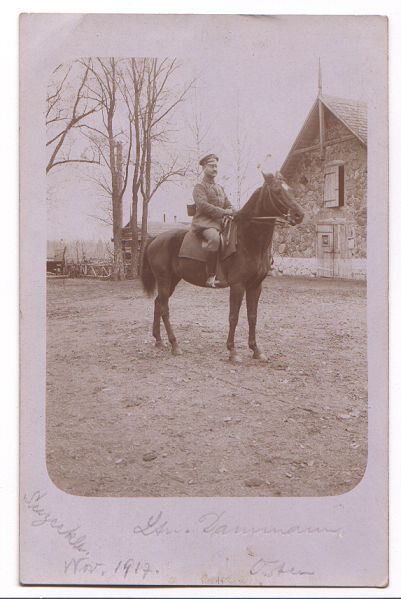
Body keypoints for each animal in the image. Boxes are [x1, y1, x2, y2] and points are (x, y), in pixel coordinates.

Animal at [141, 171, 304, 364]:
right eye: (277, 191)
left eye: (291, 190)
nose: (299, 215)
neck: (247, 240)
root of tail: (156, 238)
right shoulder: (238, 286)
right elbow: (233, 317)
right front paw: (232, 351)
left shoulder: (255, 286)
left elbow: (252, 317)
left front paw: (256, 350)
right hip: (164, 279)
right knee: (164, 308)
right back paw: (175, 345)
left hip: (173, 279)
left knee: (158, 303)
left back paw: (159, 340)